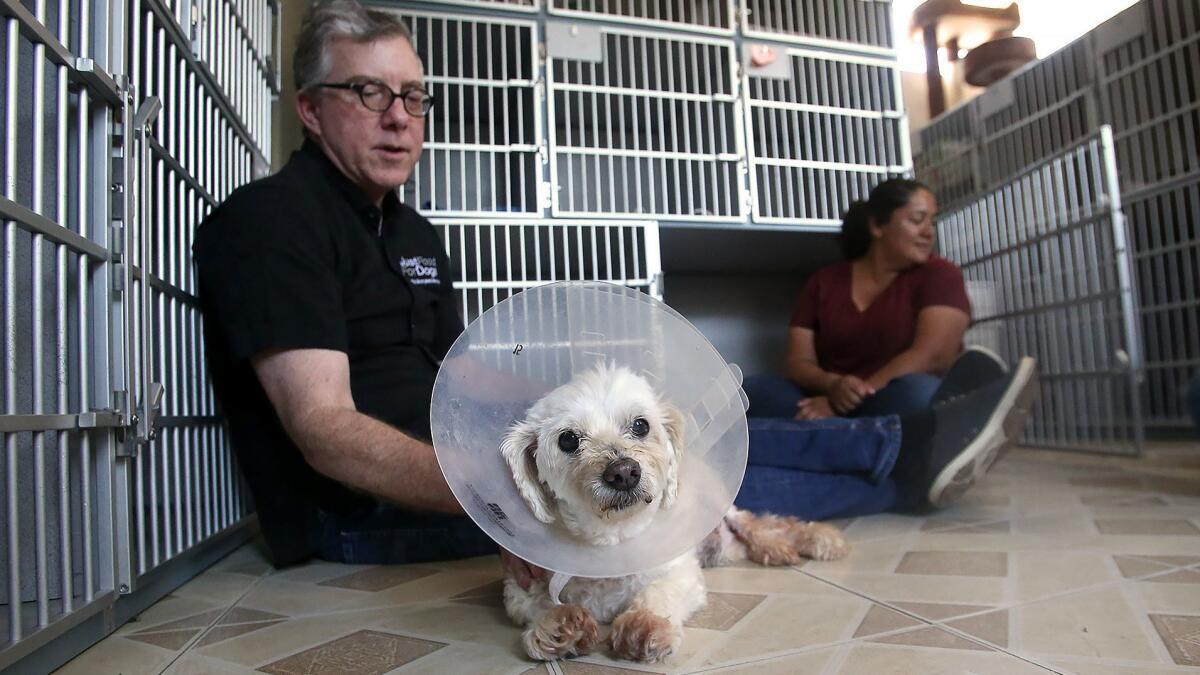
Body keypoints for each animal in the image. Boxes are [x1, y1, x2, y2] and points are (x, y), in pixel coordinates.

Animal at [501, 365, 849, 658]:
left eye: (640, 425)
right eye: (568, 439)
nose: (624, 472)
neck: (612, 545)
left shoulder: (681, 573)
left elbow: (657, 592)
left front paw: (643, 624)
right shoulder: (519, 588)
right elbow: (537, 605)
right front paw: (557, 627)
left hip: (726, 511)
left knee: (766, 524)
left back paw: (808, 542)